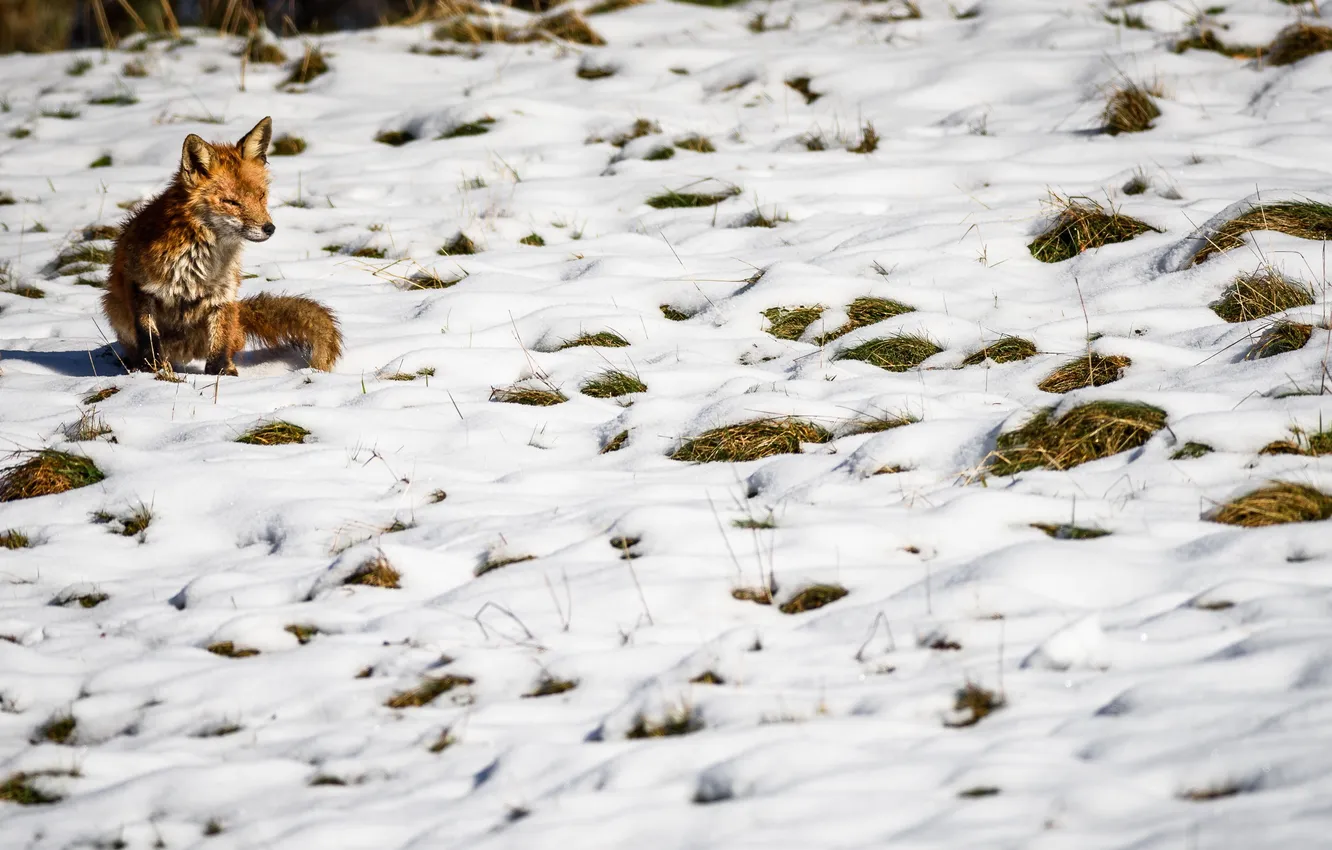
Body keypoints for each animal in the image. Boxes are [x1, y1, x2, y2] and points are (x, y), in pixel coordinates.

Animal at [102, 117, 341, 375]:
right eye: (231, 202)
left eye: (260, 196)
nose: (269, 228)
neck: (198, 261)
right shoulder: (140, 286)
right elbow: (149, 337)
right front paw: (153, 368)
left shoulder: (223, 295)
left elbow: (219, 344)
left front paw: (221, 374)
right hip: (113, 308)